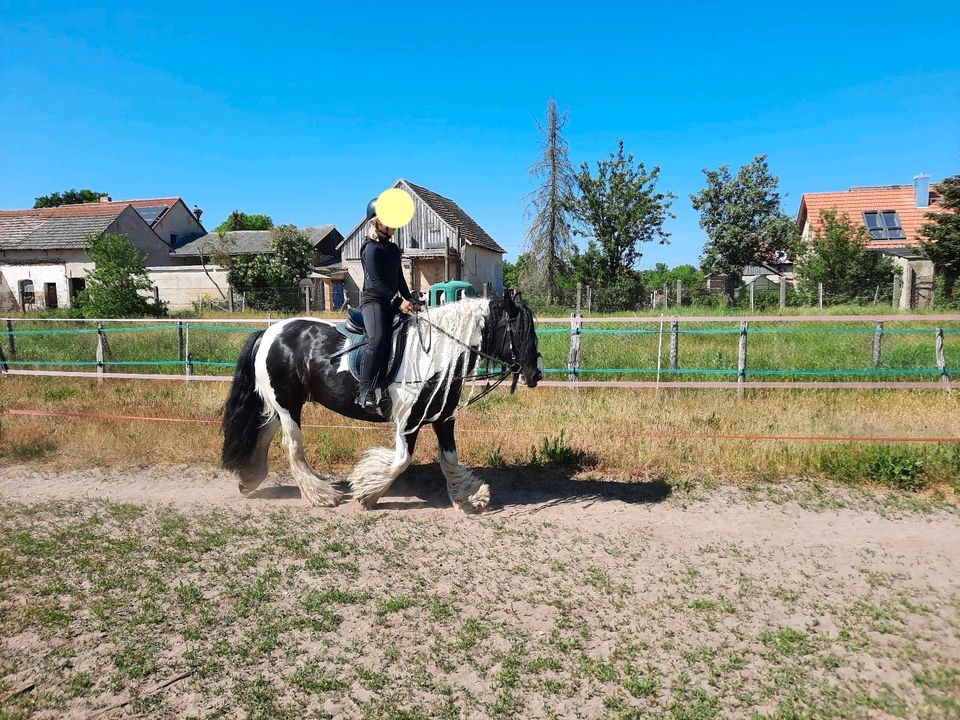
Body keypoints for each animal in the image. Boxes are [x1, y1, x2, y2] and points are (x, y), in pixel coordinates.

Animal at [220, 292, 544, 512]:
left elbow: (450, 458)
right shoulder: (409, 420)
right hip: (288, 405)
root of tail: (268, 333)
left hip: (282, 405)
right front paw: (367, 493)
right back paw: (321, 495)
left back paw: (250, 479)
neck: (437, 355)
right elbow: (401, 460)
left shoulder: (442, 417)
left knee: (264, 434)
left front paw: (470, 497)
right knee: (292, 447)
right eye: (520, 330)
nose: (536, 373)